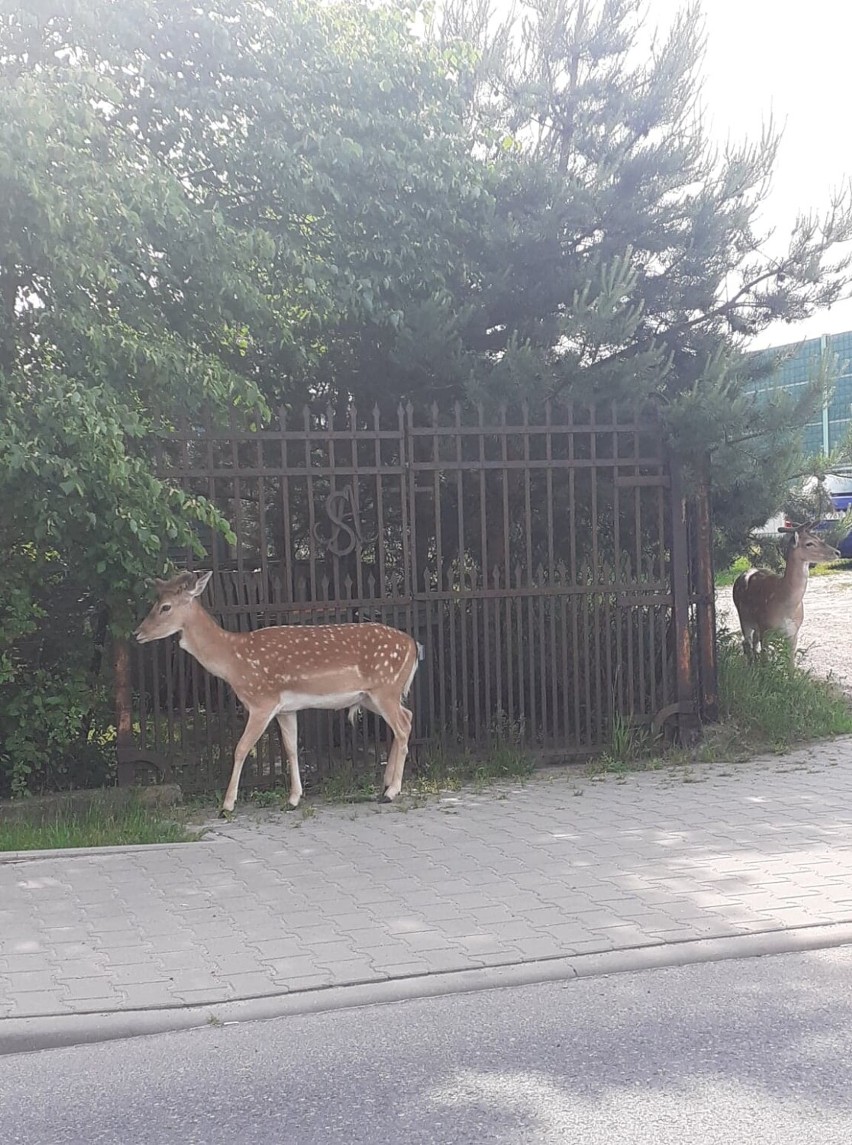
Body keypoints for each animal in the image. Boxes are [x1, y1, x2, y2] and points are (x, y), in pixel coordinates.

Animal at [132, 572, 419, 815]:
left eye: (165, 606)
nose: (137, 633)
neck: (233, 661)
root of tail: (413, 646)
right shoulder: (286, 708)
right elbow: (291, 749)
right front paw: (293, 799)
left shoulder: (262, 701)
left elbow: (241, 748)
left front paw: (227, 805)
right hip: (372, 696)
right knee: (407, 717)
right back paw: (385, 784)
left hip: (386, 688)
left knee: (403, 726)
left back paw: (392, 791)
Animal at [728, 522, 842, 664]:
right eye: (809, 543)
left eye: (819, 538)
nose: (837, 552)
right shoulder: (766, 628)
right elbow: (766, 661)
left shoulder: (794, 632)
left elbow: (790, 664)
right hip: (743, 617)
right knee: (746, 643)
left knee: (753, 642)